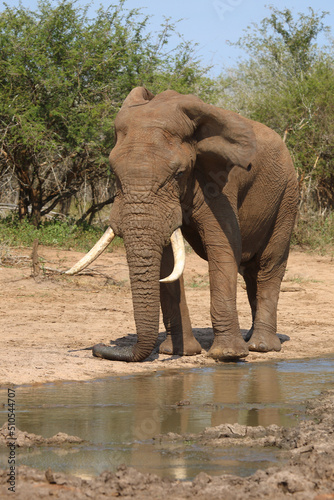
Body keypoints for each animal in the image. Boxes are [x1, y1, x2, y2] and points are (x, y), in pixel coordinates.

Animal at [66, 88, 298, 364]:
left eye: (178, 174)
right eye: (114, 173)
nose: (99, 347)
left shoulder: (221, 182)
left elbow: (222, 245)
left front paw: (228, 356)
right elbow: (167, 259)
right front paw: (179, 352)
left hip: (287, 195)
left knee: (269, 266)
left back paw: (261, 347)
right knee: (251, 272)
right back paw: (251, 338)